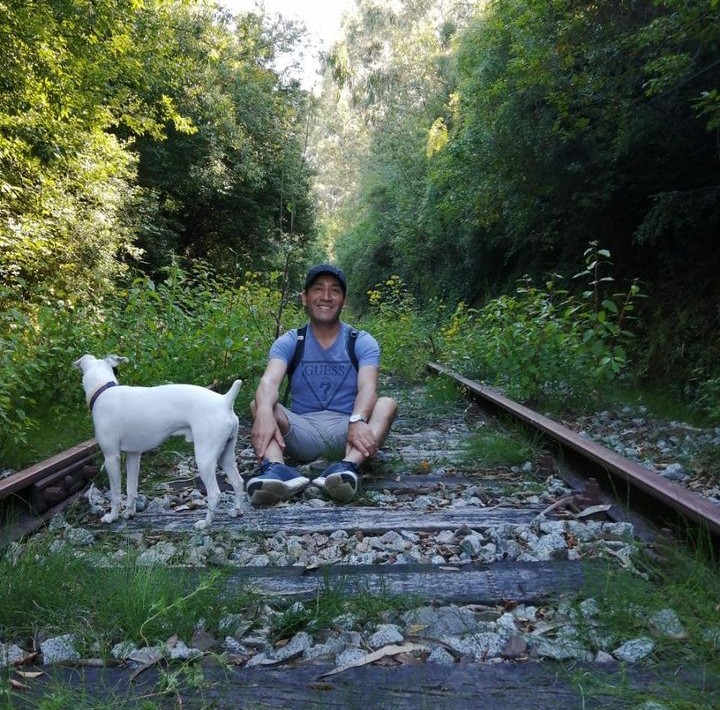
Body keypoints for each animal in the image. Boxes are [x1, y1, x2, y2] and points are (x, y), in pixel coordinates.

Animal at [74, 354, 246, 528]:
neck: (103, 389)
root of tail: (225, 401)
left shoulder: (111, 458)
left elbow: (115, 494)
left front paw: (112, 517)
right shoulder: (133, 456)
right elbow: (131, 489)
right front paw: (129, 512)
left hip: (205, 459)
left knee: (214, 493)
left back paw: (205, 523)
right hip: (225, 456)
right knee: (238, 482)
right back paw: (237, 511)